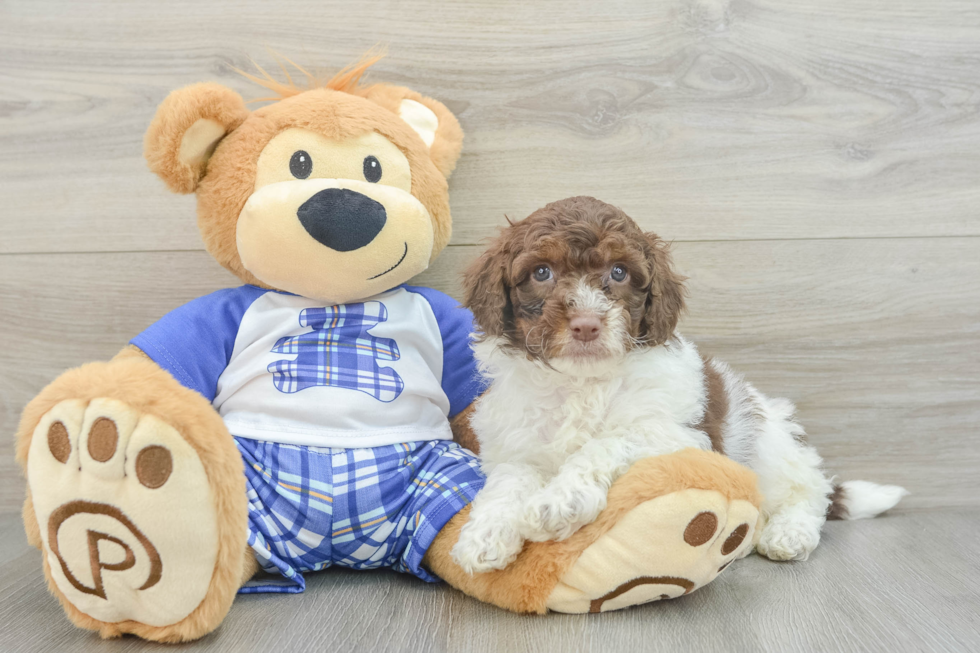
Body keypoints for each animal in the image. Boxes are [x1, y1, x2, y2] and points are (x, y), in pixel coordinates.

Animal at [448, 196, 908, 572]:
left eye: (619, 272)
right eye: (541, 272)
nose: (587, 325)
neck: (584, 381)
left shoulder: (679, 434)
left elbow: (610, 441)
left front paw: (560, 501)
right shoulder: (516, 444)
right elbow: (509, 482)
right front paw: (484, 536)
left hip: (772, 450)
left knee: (810, 492)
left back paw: (787, 534)